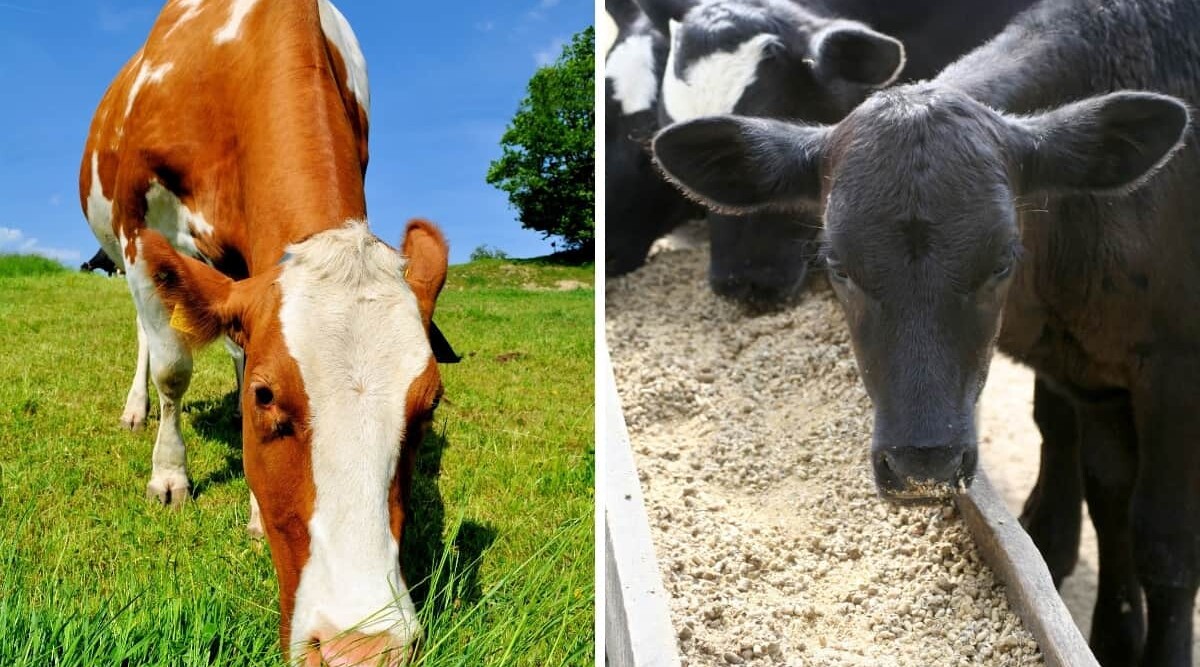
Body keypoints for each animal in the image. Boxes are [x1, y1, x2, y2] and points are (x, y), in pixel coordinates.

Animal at [78, 2, 451, 662]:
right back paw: (136, 409)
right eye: (267, 396)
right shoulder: (137, 225)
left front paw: (252, 508)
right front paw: (169, 475)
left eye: (428, 405)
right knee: (150, 335)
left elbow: (238, 346)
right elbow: (175, 369)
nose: (359, 649)